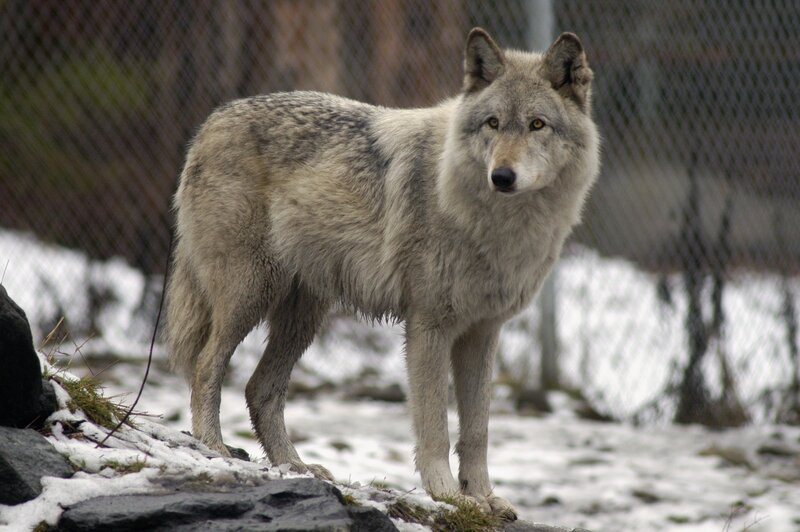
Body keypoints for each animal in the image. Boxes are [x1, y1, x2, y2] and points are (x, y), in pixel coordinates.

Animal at [165, 27, 599, 518]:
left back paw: (296, 467)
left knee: (260, 389)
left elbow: (477, 430)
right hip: (249, 295)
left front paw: (484, 496)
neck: (496, 225)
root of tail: (212, 120)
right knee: (206, 367)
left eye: (537, 125)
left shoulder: (482, 334)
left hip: (303, 317)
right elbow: (434, 426)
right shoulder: (429, 327)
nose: (502, 176)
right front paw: (447, 494)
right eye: (492, 123)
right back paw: (214, 447)